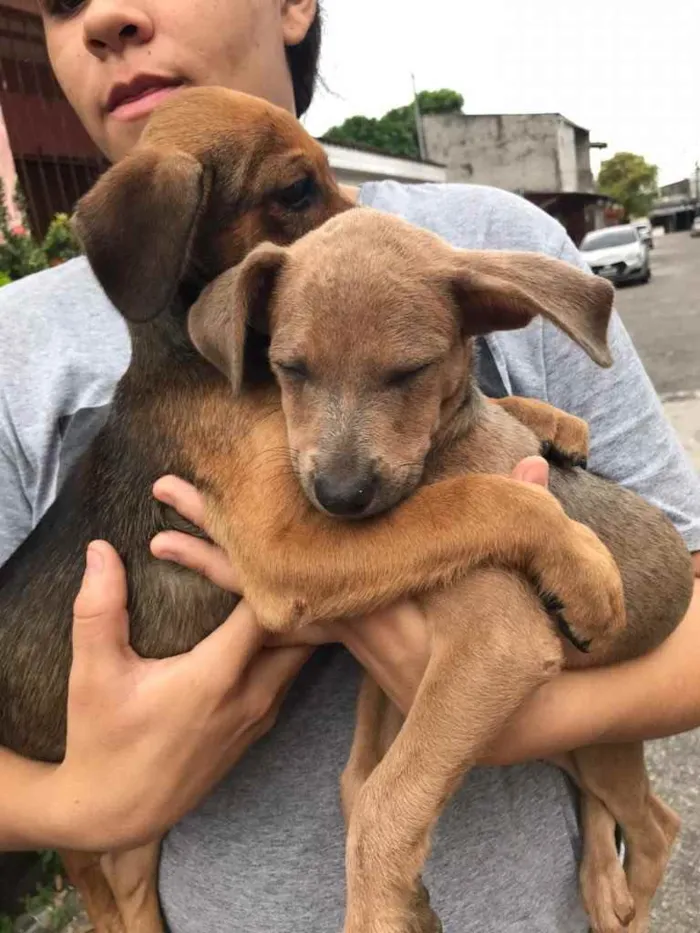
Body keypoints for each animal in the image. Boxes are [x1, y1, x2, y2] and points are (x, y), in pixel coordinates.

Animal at [0, 89, 624, 932]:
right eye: (298, 190)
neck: (198, 356)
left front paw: (553, 419)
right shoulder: (288, 539)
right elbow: (470, 496)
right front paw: (583, 564)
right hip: (91, 835)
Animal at [189, 209, 696, 932]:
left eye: (410, 372)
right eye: (290, 368)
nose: (339, 497)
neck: (441, 451)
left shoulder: (496, 644)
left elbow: (383, 799)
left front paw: (375, 911)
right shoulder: (388, 684)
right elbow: (359, 782)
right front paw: (410, 902)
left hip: (605, 741)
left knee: (658, 827)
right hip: (578, 742)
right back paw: (601, 880)